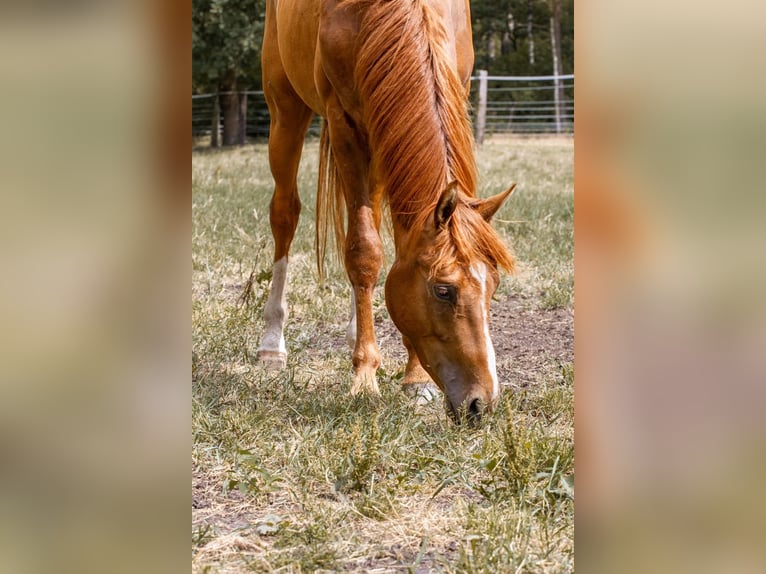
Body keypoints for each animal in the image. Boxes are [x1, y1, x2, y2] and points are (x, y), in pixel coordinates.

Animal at [256, 0, 516, 424]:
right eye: (443, 290)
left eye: (493, 286)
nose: (481, 403)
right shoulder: (345, 123)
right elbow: (363, 251)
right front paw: (364, 378)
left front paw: (415, 380)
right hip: (285, 108)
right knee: (285, 214)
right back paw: (271, 346)